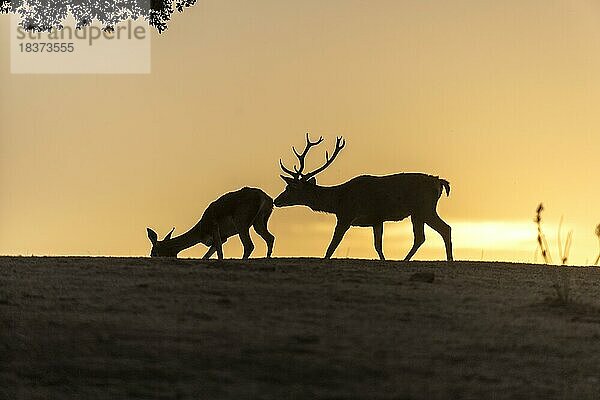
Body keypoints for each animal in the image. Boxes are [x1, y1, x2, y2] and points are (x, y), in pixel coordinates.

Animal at [274, 134, 452, 262]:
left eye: (290, 188)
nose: (276, 201)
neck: (338, 200)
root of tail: (439, 182)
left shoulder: (346, 215)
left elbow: (333, 244)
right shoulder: (377, 220)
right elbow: (378, 246)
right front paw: (383, 260)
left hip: (425, 208)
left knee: (444, 229)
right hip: (417, 213)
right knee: (421, 237)